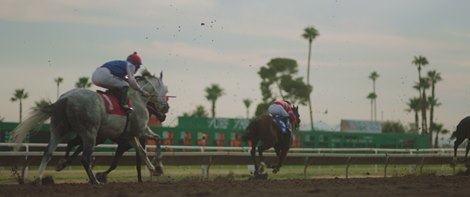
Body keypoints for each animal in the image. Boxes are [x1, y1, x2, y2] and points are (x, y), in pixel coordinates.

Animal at [11, 69, 171, 183]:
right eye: (166, 90)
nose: (166, 108)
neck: (137, 98)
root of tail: (64, 99)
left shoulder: (130, 136)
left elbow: (143, 152)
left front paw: (155, 169)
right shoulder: (140, 130)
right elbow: (157, 139)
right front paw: (159, 167)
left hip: (58, 129)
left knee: (48, 152)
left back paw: (39, 178)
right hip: (90, 133)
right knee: (84, 158)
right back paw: (94, 180)